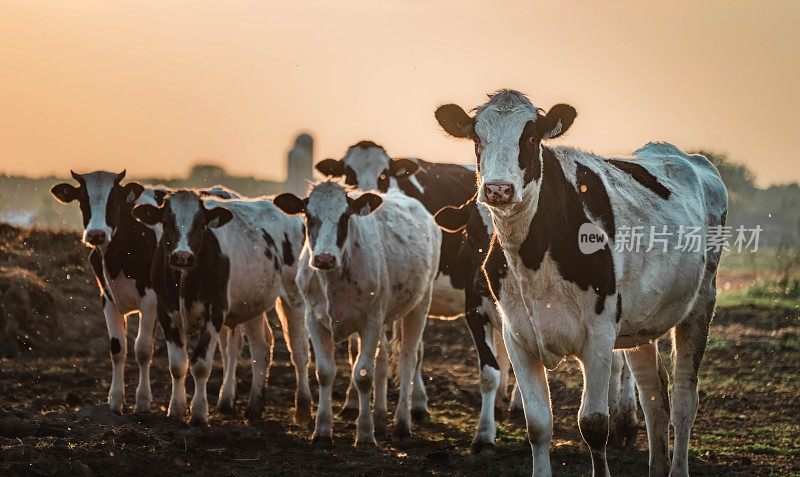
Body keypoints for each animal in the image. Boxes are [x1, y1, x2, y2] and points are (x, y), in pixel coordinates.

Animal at [50, 171, 167, 412]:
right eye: (82, 201)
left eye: (114, 202)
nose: (96, 235)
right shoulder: (108, 298)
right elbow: (117, 348)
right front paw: (114, 400)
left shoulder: (151, 299)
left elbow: (143, 349)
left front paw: (142, 401)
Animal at [131, 190, 310, 424]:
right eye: (167, 223)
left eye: (201, 225)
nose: (182, 256)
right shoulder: (166, 312)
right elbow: (178, 365)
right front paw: (176, 410)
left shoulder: (214, 313)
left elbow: (200, 365)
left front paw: (198, 413)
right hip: (253, 302)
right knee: (260, 348)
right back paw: (254, 407)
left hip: (294, 298)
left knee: (299, 351)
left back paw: (303, 409)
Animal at [274, 180, 438, 448]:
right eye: (308, 215)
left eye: (345, 217)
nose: (324, 258)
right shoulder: (314, 320)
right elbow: (325, 372)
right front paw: (322, 430)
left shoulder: (370, 322)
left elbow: (362, 374)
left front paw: (365, 434)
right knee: (383, 360)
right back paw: (380, 418)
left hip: (419, 305)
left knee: (407, 360)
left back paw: (401, 425)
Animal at [434, 197, 640, 450]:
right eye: (470, 236)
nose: (482, 282)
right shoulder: (475, 312)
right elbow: (489, 372)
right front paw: (484, 434)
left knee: (626, 362)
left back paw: (626, 416)